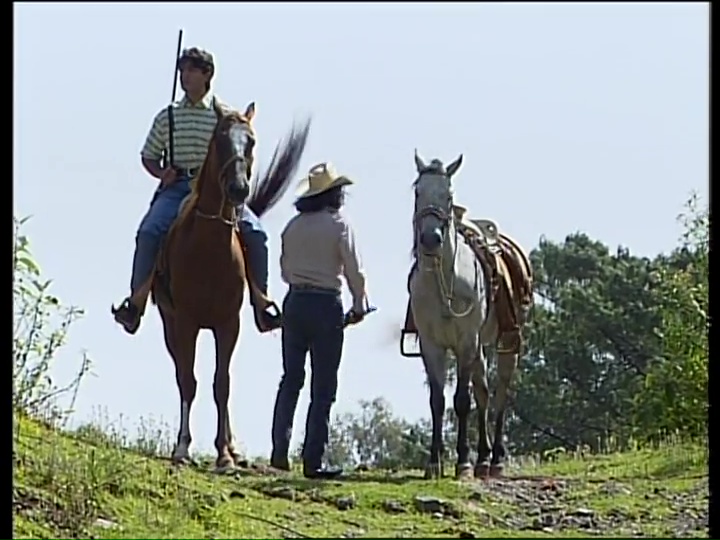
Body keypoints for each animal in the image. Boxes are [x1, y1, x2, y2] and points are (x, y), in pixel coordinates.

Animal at [131, 100, 310, 472]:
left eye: (251, 141)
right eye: (221, 140)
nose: (239, 189)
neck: (208, 246)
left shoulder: (229, 323)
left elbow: (222, 384)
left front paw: (225, 454)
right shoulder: (185, 323)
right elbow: (189, 381)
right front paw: (182, 447)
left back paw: (233, 448)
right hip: (171, 324)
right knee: (182, 374)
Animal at [408, 150, 532, 480]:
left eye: (448, 196)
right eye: (418, 192)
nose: (430, 239)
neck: (444, 283)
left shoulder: (465, 342)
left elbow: (462, 401)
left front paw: (462, 462)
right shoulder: (432, 346)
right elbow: (437, 401)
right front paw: (434, 463)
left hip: (505, 344)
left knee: (500, 392)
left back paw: (496, 459)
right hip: (479, 348)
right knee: (484, 392)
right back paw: (484, 459)